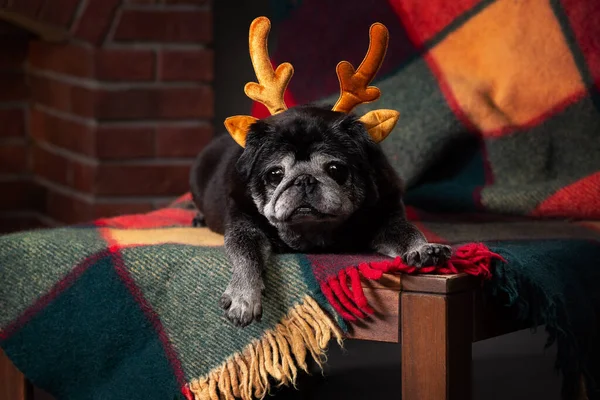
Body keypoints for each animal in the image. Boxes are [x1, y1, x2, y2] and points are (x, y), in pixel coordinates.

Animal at [188, 17, 450, 326]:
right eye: (275, 174)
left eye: (335, 169)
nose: (303, 179)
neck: (312, 235)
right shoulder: (244, 226)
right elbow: (246, 255)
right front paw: (244, 297)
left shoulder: (387, 217)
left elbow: (407, 232)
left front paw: (423, 248)